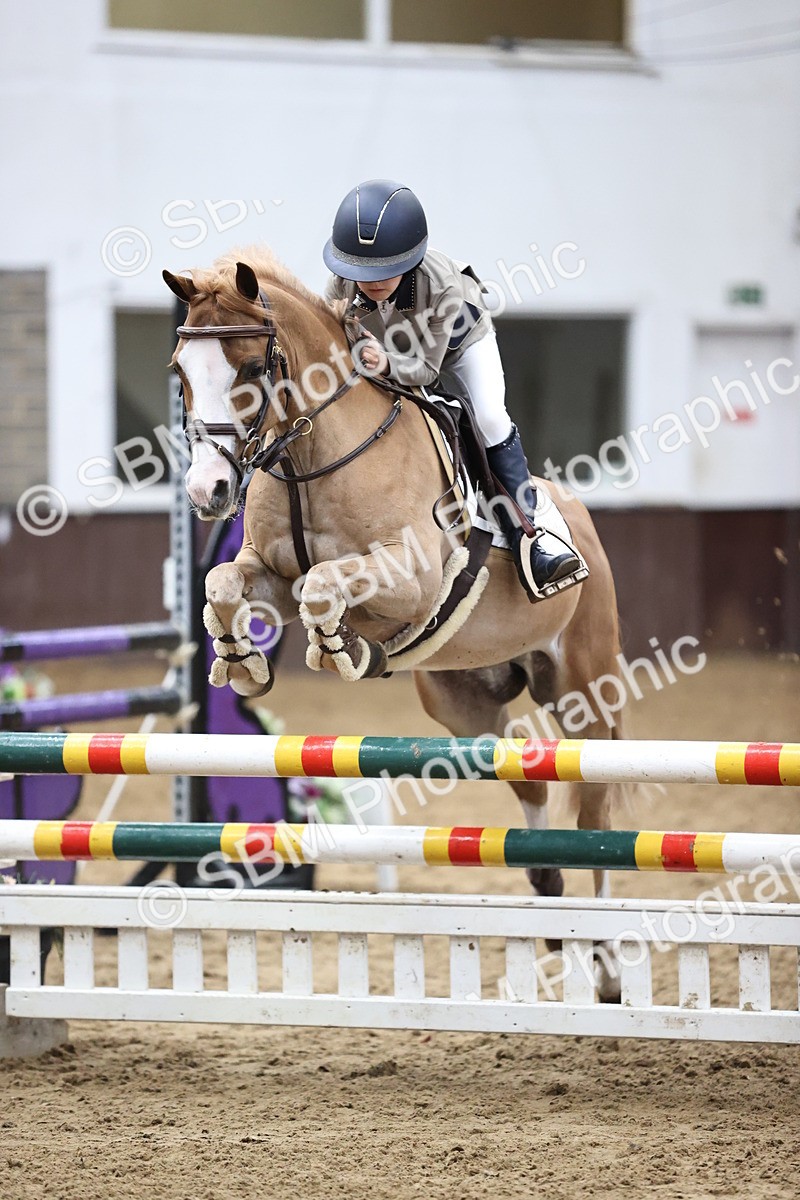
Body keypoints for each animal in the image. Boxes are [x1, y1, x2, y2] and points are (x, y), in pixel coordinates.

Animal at [164, 247, 627, 1000]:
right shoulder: (269, 573)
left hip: (585, 687)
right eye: (180, 371)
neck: (312, 455)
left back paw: (610, 961)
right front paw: (242, 661)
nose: (208, 492)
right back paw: (548, 897)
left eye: (253, 368)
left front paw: (338, 648)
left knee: (597, 812)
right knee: (530, 780)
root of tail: (582, 518)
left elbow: (326, 584)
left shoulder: (410, 580)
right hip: (462, 701)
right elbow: (224, 583)